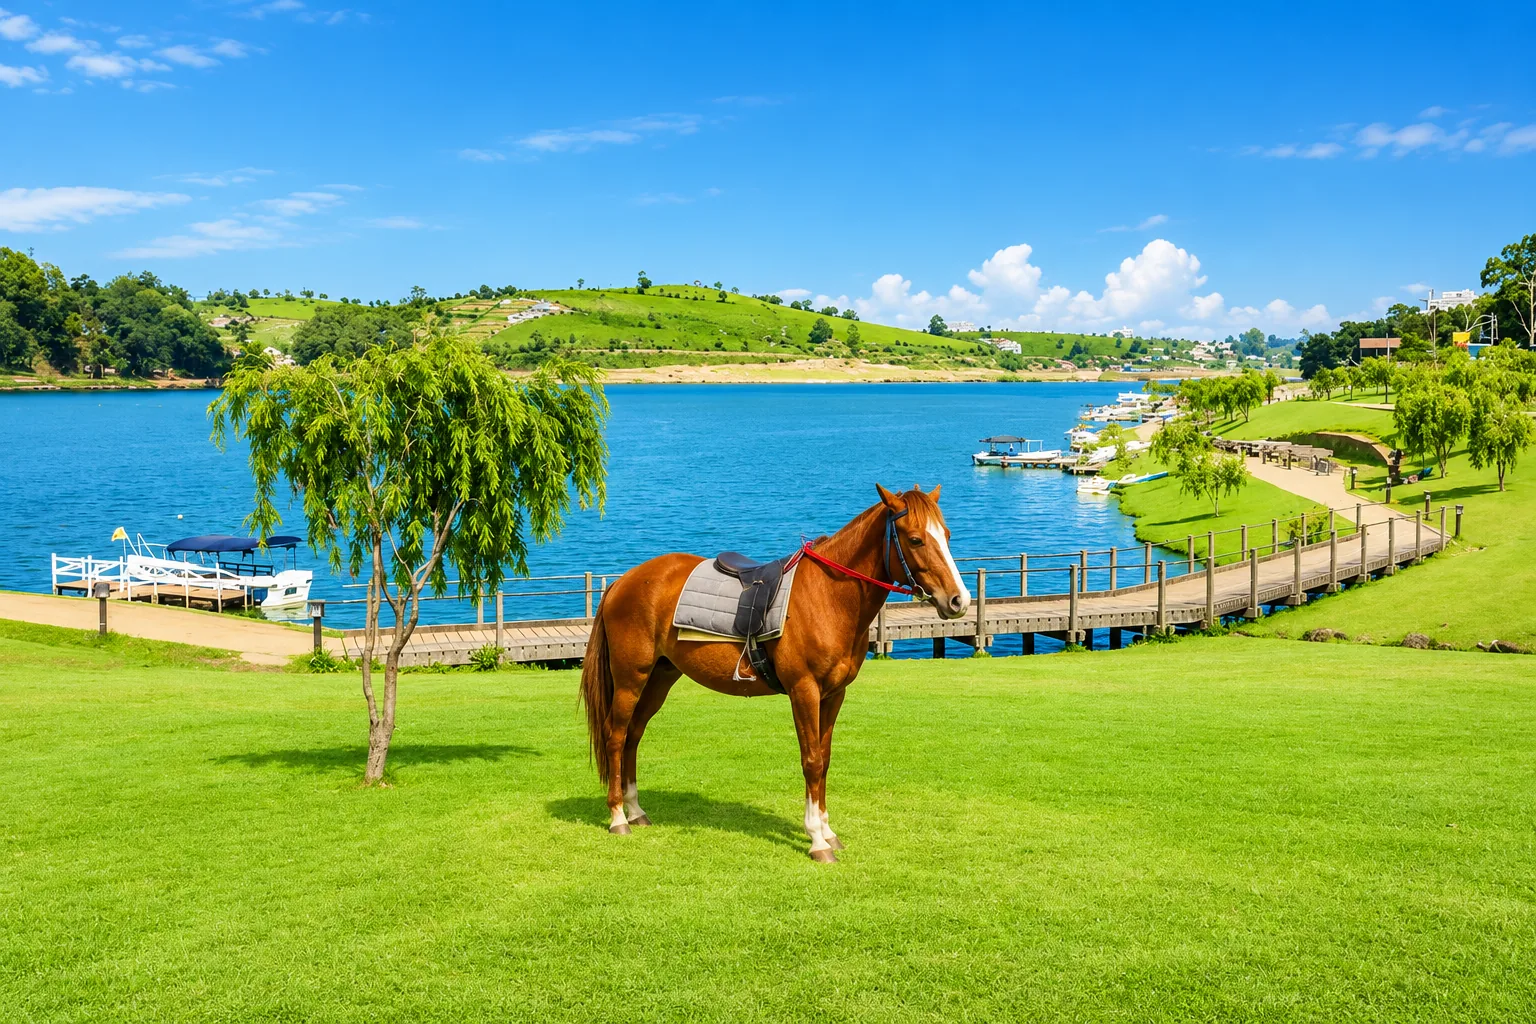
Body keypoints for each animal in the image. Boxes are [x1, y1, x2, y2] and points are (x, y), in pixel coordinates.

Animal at [579, 483, 971, 862]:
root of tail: (623, 582)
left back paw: (636, 811)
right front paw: (817, 841)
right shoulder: (804, 691)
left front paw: (828, 830)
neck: (827, 596)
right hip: (631, 679)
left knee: (633, 736)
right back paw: (618, 817)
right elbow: (812, 761)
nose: (959, 600)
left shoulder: (834, 694)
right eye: (916, 539)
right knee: (616, 737)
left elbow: (825, 758)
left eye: (947, 534)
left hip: (659, 678)